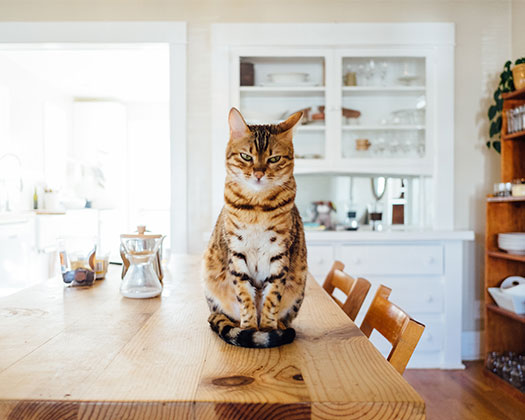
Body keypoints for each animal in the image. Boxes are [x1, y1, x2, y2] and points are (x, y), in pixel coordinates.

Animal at [201, 107, 308, 348]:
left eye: (274, 158)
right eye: (246, 157)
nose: (258, 173)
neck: (257, 208)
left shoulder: (279, 254)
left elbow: (272, 297)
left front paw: (267, 328)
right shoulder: (237, 252)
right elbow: (245, 296)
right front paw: (249, 328)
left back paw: (280, 327)